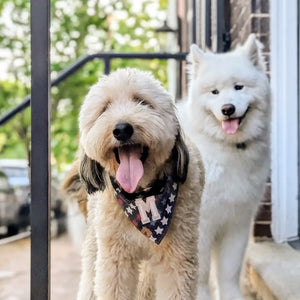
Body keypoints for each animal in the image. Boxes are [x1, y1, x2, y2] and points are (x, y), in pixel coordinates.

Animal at [71, 68, 205, 300]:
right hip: (95, 241)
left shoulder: (178, 257)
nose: (122, 129)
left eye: (142, 102)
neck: (142, 195)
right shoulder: (115, 257)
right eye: (105, 108)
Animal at [178, 33, 272, 300]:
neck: (227, 147)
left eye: (239, 87)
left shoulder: (237, 222)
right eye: (214, 92)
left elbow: (229, 272)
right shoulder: (201, 224)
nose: (227, 109)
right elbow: (200, 275)